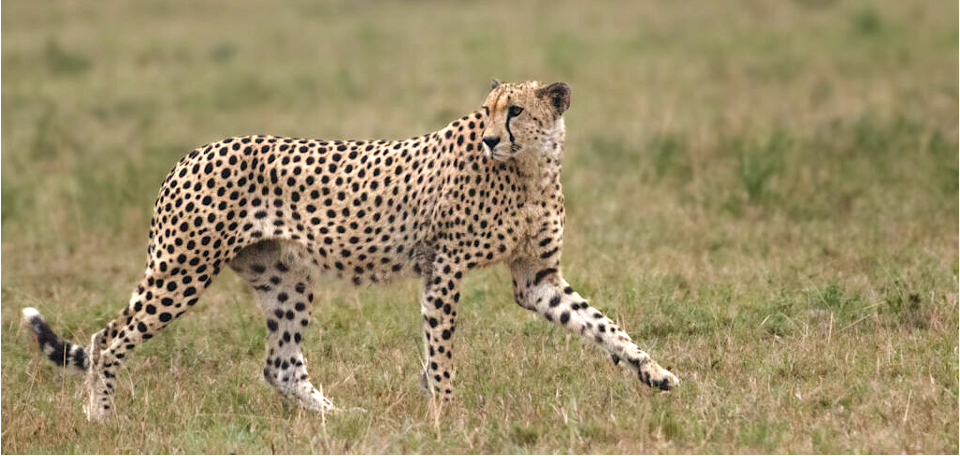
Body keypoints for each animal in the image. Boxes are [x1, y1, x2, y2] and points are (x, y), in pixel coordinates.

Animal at [21, 79, 679, 421]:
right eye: (487, 113)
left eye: (516, 110)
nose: (493, 138)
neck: (528, 169)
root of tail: (192, 152)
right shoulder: (444, 269)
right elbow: (442, 352)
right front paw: (445, 415)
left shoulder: (535, 279)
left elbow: (603, 326)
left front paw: (656, 373)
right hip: (182, 270)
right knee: (109, 338)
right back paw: (101, 419)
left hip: (285, 278)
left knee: (280, 363)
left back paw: (339, 420)